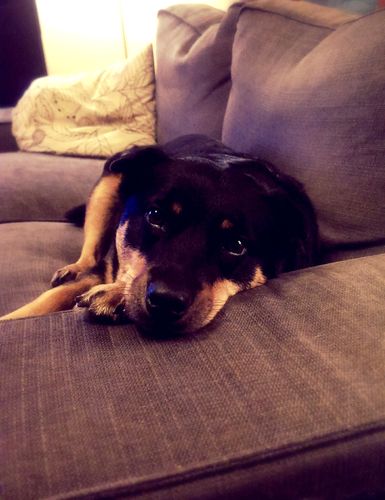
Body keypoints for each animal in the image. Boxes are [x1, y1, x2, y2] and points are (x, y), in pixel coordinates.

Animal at [0, 135, 318, 334]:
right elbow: (49, 299)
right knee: (90, 253)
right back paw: (73, 268)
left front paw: (115, 296)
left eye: (236, 245)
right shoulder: (109, 266)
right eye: (155, 216)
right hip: (108, 185)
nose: (166, 301)